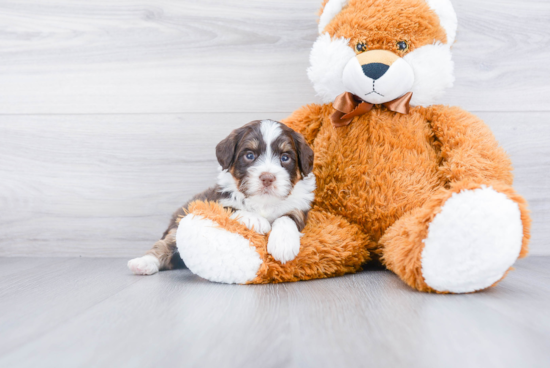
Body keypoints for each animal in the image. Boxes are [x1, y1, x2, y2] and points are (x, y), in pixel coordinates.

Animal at [129, 119, 316, 274]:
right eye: (249, 155)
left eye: (285, 157)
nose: (267, 178)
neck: (263, 202)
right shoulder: (215, 201)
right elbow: (232, 208)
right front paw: (255, 220)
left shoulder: (299, 206)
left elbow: (286, 218)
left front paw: (283, 245)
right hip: (179, 223)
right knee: (164, 245)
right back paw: (142, 263)